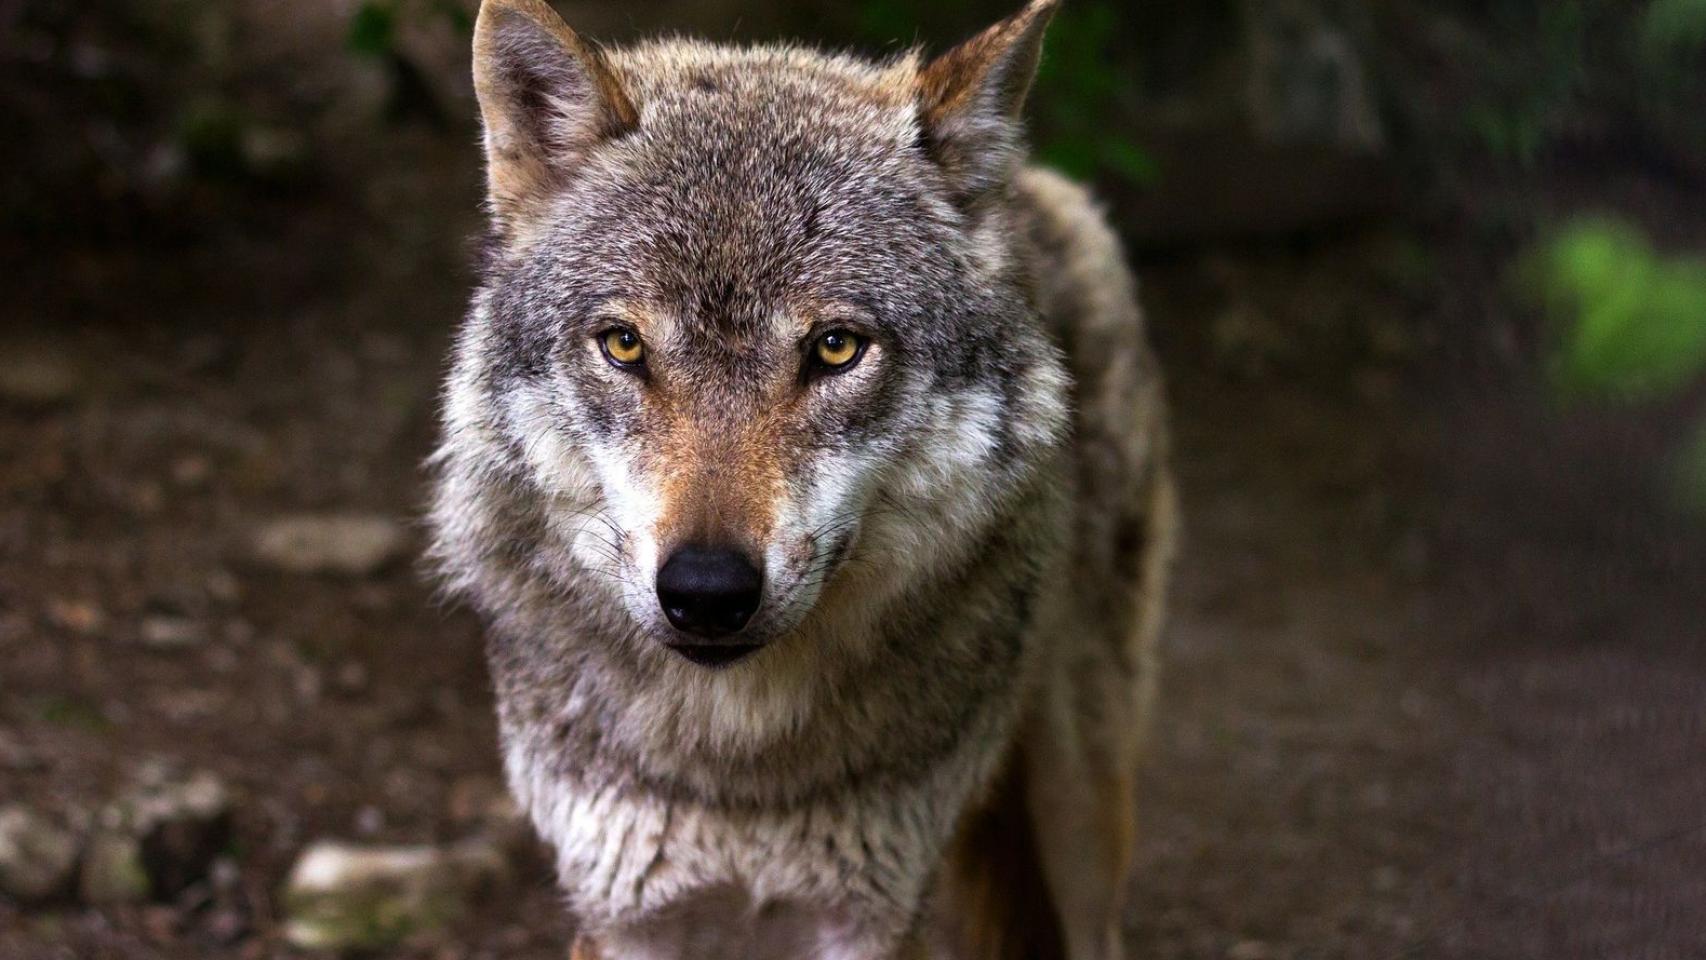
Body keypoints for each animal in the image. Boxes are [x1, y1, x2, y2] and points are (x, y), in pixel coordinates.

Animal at [429, 0, 1173, 954]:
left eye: (836, 348)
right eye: (624, 344)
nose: (707, 591)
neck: (740, 765)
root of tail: (1034, 183)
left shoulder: (872, 912)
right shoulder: (624, 910)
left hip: (1080, 815)